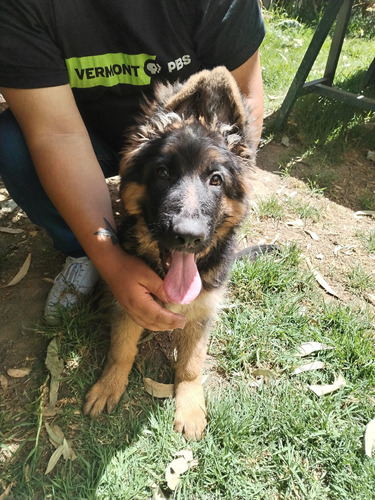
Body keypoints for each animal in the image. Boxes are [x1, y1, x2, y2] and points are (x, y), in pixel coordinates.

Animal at [84, 67, 258, 442]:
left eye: (216, 180)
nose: (187, 237)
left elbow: (191, 365)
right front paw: (110, 385)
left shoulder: (202, 312)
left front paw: (190, 407)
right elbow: (121, 349)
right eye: (163, 173)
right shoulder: (129, 301)